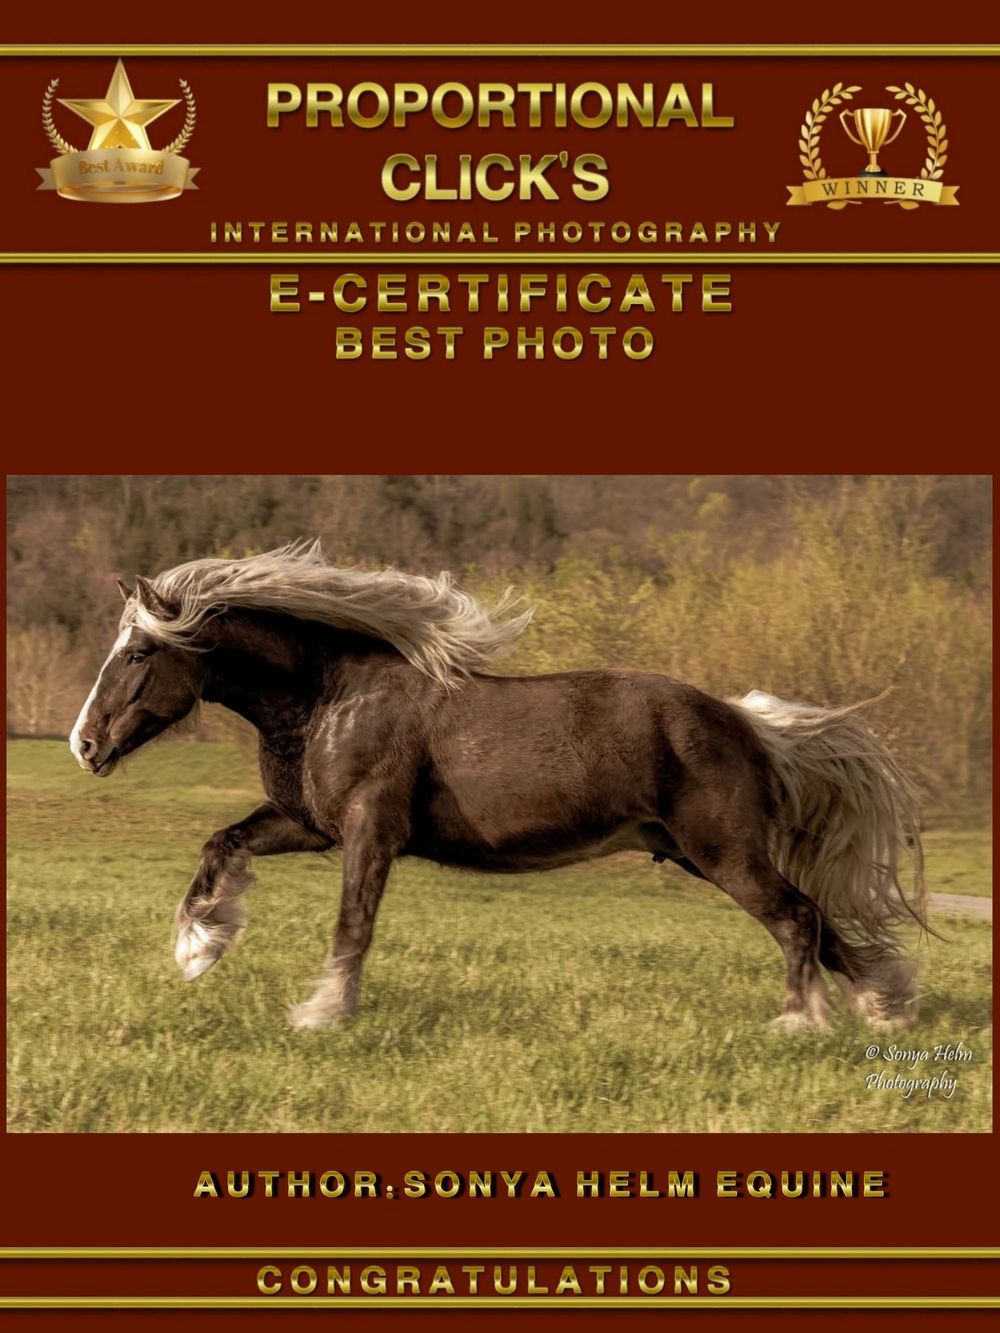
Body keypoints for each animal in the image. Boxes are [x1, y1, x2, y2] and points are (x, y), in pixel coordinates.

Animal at [69, 540, 927, 1032]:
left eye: (139, 652)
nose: (85, 744)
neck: (328, 696)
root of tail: (744, 721)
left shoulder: (370, 830)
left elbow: (353, 925)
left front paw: (321, 1012)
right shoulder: (310, 824)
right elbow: (222, 845)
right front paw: (197, 947)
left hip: (723, 854)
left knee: (796, 917)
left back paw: (801, 1022)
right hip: (698, 853)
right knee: (821, 920)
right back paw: (882, 1011)